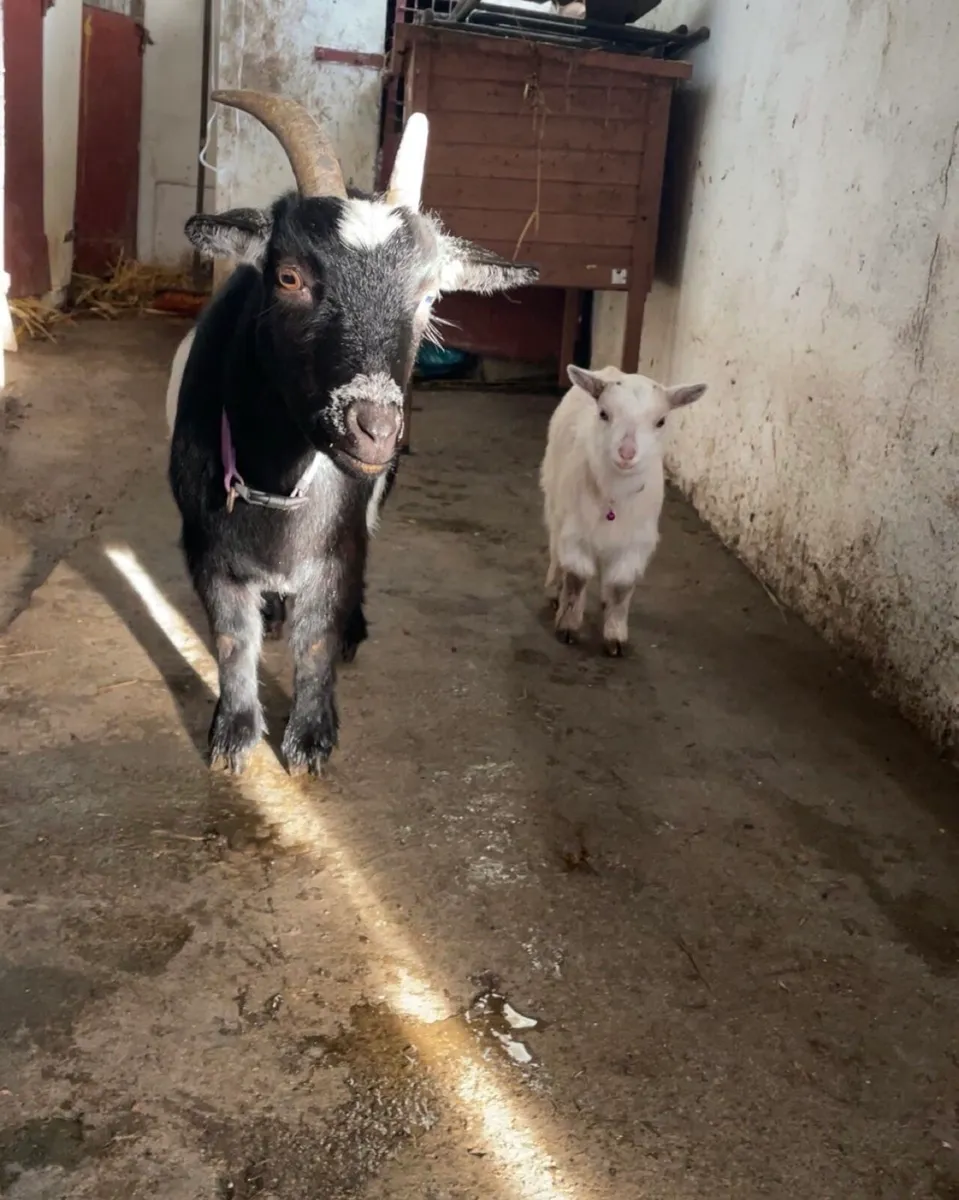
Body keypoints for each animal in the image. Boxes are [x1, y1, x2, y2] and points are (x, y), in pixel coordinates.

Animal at [167, 90, 538, 775]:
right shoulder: (206, 546)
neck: (276, 484)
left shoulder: (337, 545)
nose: (375, 428)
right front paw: (233, 737)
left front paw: (311, 741)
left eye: (429, 295)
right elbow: (232, 639)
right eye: (289, 277)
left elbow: (317, 640)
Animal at [539, 364, 707, 655]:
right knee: (555, 550)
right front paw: (568, 625)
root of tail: (609, 369)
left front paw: (615, 635)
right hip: (554, 501)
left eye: (661, 421)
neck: (613, 499)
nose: (627, 453)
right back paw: (553, 589)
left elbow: (621, 586)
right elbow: (577, 578)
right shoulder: (576, 533)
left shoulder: (635, 543)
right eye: (604, 413)